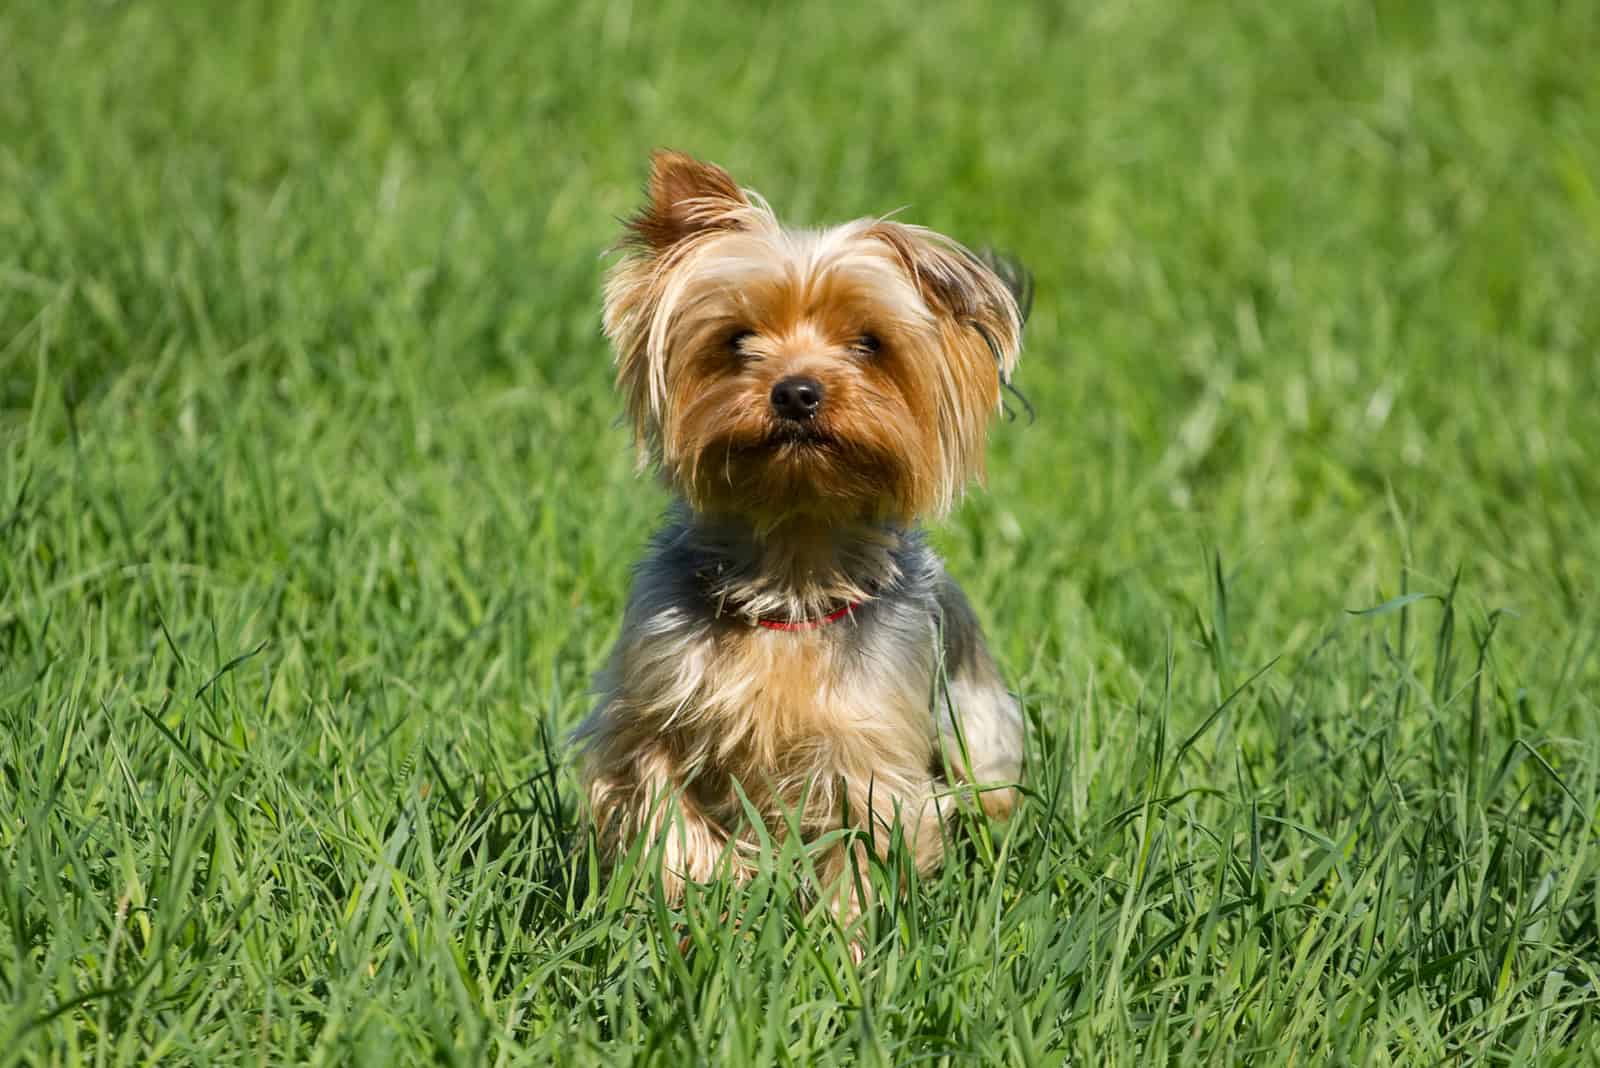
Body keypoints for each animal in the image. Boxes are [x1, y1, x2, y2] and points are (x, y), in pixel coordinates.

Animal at [576, 151, 1024, 908]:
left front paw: (841, 934)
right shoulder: (652, 703)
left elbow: (864, 848)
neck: (794, 562)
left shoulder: (868, 747)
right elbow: (659, 802)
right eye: (738, 340)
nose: (796, 391)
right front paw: (702, 893)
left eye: (869, 343)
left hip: (981, 732)